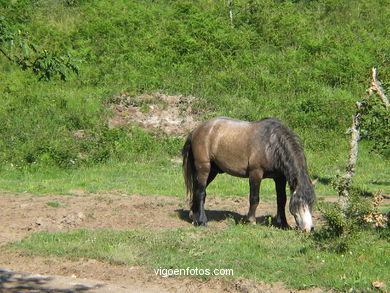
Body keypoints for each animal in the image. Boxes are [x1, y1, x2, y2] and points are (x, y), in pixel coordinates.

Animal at [184, 115, 316, 232]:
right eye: (299, 202)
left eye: (311, 202)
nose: (308, 229)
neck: (271, 145)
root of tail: (196, 130)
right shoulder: (255, 174)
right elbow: (254, 198)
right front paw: (251, 220)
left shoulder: (280, 178)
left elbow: (281, 199)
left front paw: (283, 223)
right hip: (204, 168)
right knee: (200, 192)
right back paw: (201, 221)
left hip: (213, 171)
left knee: (197, 191)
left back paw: (194, 216)